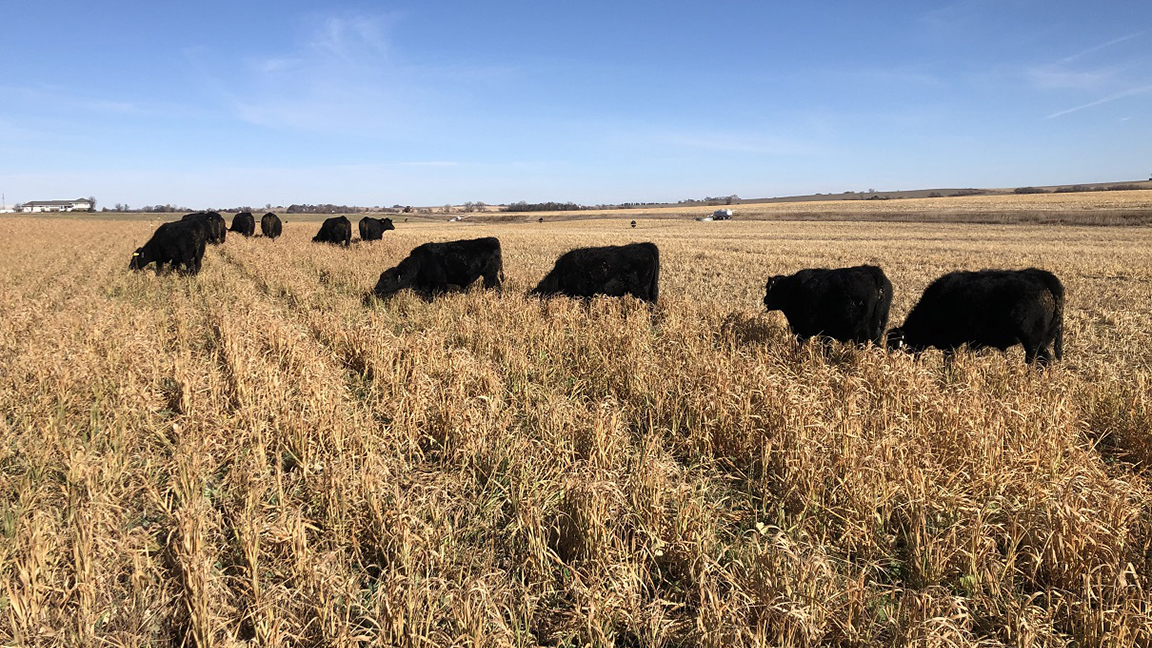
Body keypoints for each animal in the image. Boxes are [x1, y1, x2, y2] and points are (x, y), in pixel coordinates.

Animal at [372, 237, 503, 300]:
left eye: (386, 279)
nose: (375, 289)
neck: (419, 262)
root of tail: (493, 239)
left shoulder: (440, 284)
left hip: (489, 275)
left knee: (493, 287)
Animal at [762, 265, 892, 345]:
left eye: (770, 289)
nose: (765, 299)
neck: (791, 288)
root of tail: (873, 272)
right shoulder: (825, 334)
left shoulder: (803, 330)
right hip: (877, 330)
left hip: (862, 334)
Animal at [887, 268, 1064, 366]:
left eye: (895, 346)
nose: (892, 364)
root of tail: (1042, 276)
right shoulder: (974, 342)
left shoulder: (953, 343)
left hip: (1033, 341)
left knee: (1039, 360)